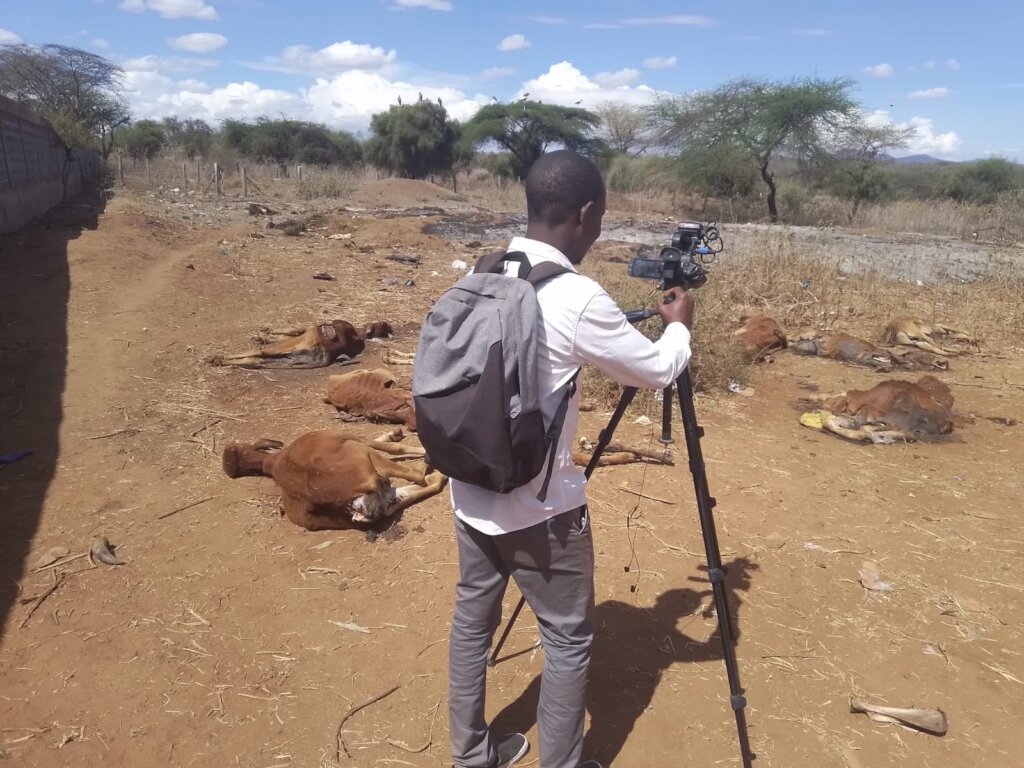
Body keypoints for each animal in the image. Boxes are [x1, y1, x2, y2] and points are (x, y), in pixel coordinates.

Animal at [205, 319, 389, 366]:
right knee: (258, 361)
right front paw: (264, 335)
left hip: (294, 346)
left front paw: (264, 334)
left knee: (260, 353)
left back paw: (216, 358)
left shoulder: (308, 332)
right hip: (291, 357)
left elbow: (293, 329)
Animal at [222, 430, 446, 532]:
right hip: (362, 454)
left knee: (426, 483)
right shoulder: (347, 436)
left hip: (383, 502)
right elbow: (391, 446)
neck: (272, 462)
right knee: (417, 474)